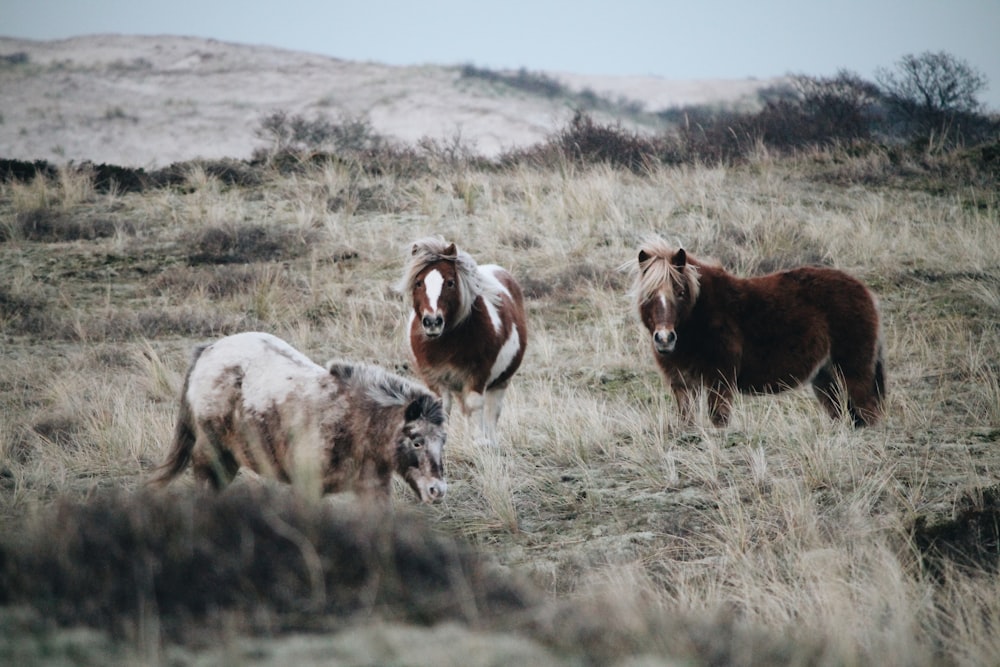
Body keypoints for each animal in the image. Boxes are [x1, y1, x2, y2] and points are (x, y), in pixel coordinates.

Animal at [150, 332, 448, 504]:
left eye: (442, 442)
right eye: (416, 441)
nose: (437, 490)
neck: (354, 423)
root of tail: (208, 350)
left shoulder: (372, 490)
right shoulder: (308, 487)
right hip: (213, 454)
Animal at [396, 237, 532, 446]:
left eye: (450, 283)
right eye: (418, 283)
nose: (433, 322)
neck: (445, 343)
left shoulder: (477, 376)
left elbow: (476, 406)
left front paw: (479, 442)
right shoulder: (435, 379)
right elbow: (442, 408)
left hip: (500, 382)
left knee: (491, 412)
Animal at [628, 237, 888, 428]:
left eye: (680, 292)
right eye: (649, 295)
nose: (664, 339)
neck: (698, 318)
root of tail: (865, 292)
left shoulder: (720, 381)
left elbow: (719, 420)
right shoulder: (682, 385)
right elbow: (687, 422)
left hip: (853, 371)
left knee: (869, 410)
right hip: (824, 378)